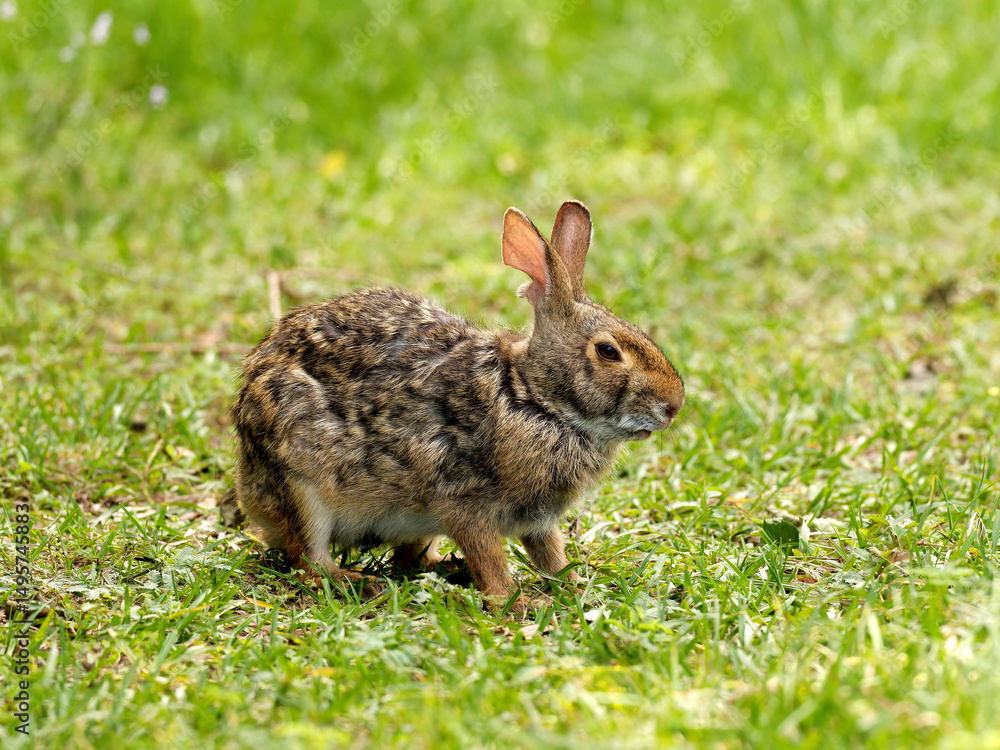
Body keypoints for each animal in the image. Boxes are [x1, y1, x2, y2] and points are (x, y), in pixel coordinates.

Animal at [230, 200, 685, 610]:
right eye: (608, 352)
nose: (674, 406)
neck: (533, 398)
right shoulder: (466, 503)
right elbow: (489, 557)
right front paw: (515, 602)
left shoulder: (538, 520)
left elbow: (550, 554)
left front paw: (574, 586)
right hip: (300, 482)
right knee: (309, 560)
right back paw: (357, 580)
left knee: (408, 558)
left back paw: (446, 570)